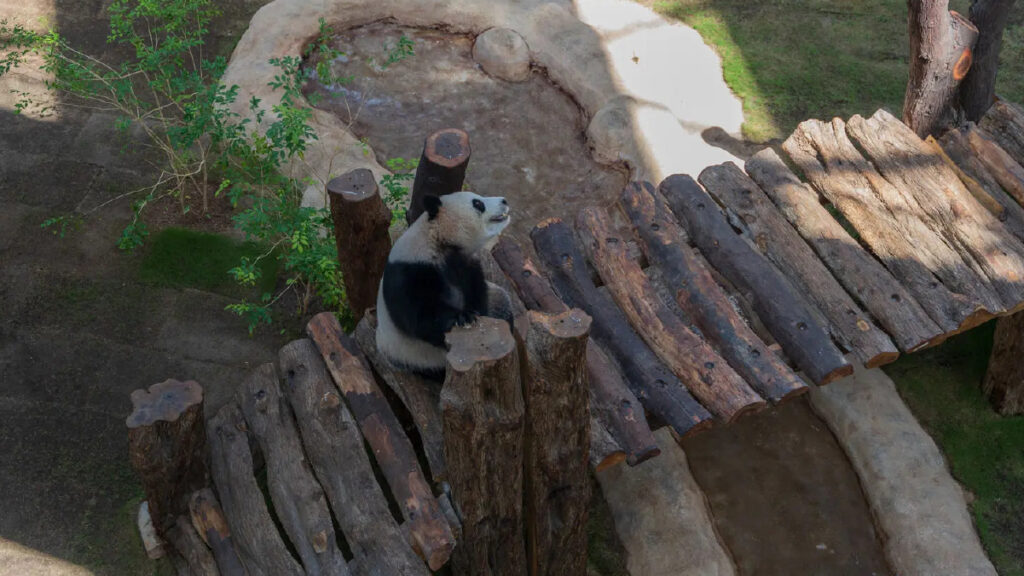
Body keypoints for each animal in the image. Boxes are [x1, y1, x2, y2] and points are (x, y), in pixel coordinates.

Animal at [376, 189, 516, 377]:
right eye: (478, 203)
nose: (504, 200)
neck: (439, 239)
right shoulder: (409, 272)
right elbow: (420, 318)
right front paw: (461, 317)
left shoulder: (468, 264)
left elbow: (479, 296)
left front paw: (471, 312)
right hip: (409, 356)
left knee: (502, 303)